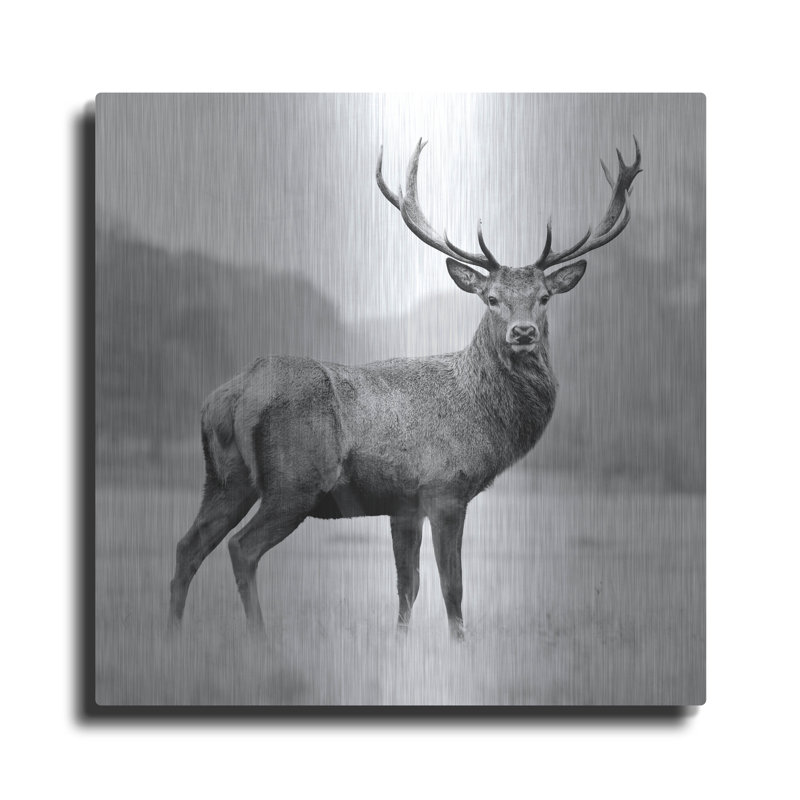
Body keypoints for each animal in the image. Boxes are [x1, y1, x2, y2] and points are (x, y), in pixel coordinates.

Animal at [168, 137, 642, 640]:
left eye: (544, 297)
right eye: (491, 298)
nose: (523, 332)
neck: (483, 418)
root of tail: (231, 395)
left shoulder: (402, 504)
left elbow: (407, 588)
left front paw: (400, 647)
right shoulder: (445, 487)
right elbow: (452, 588)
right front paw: (459, 648)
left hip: (224, 478)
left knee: (187, 546)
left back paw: (172, 636)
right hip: (294, 481)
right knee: (241, 548)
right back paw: (259, 641)